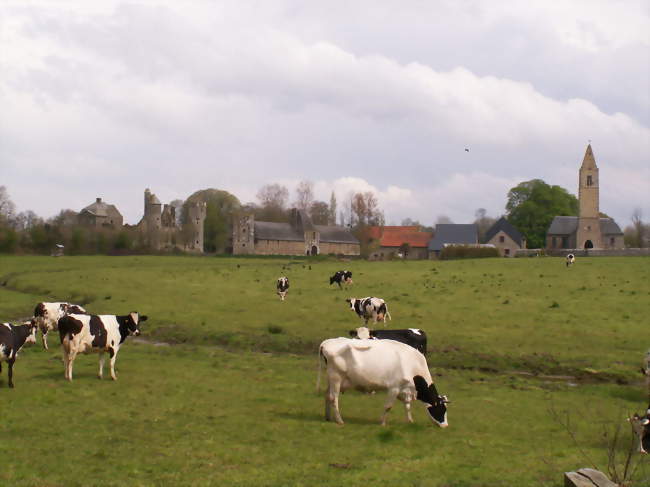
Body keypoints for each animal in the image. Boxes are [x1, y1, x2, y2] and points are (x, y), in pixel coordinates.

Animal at [316, 340, 448, 428]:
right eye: (441, 409)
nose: (446, 425)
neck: (412, 364)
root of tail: (327, 342)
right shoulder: (394, 388)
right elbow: (388, 406)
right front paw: (382, 423)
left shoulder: (405, 389)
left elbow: (407, 405)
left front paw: (410, 420)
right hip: (336, 378)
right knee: (333, 398)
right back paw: (339, 420)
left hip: (331, 380)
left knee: (327, 395)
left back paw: (328, 417)